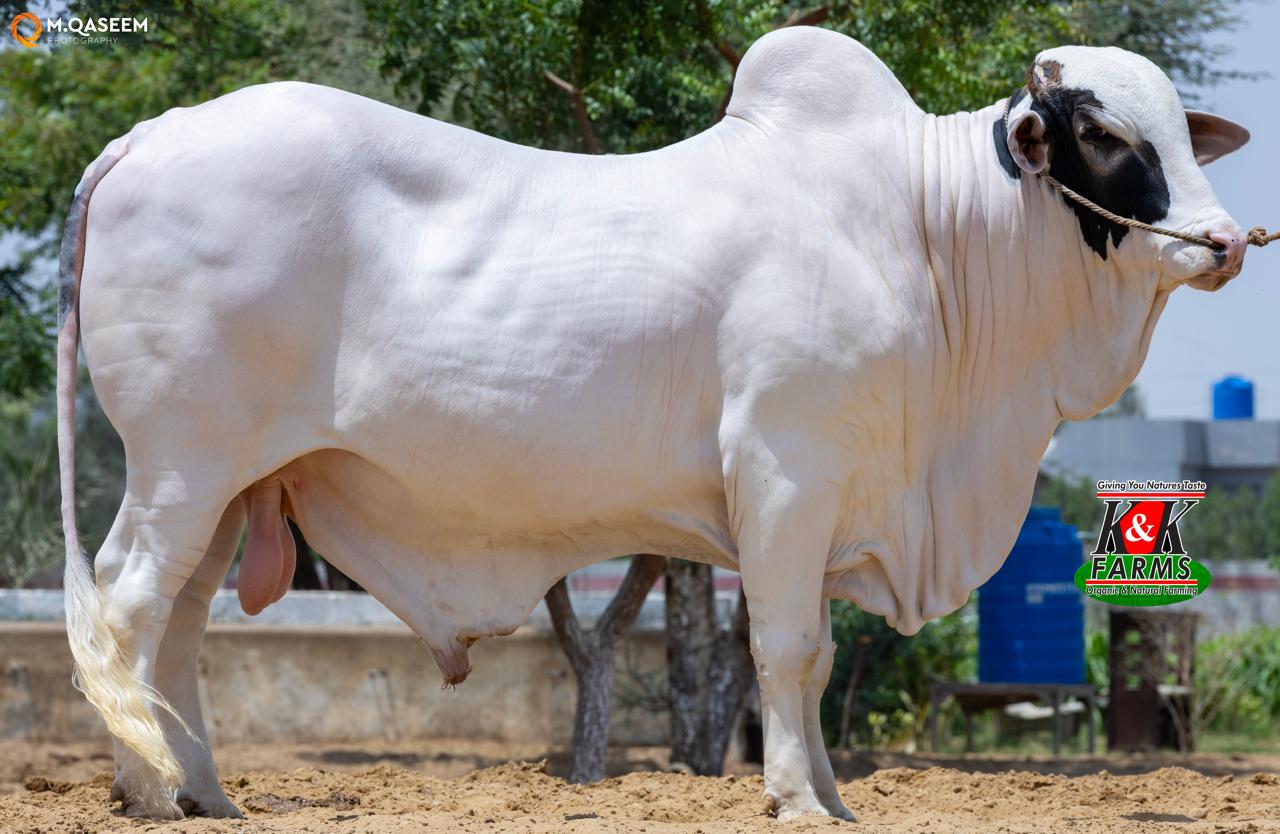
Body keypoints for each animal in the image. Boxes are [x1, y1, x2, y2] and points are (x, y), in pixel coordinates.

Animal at [56, 26, 1249, 822]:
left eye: (1185, 136)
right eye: (1102, 132)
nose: (1226, 242)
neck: (924, 233)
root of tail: (152, 134)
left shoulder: (832, 494)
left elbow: (812, 662)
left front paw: (829, 796)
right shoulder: (784, 472)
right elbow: (786, 649)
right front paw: (795, 802)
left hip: (229, 487)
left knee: (178, 628)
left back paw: (204, 794)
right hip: (182, 465)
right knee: (126, 603)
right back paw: (149, 793)